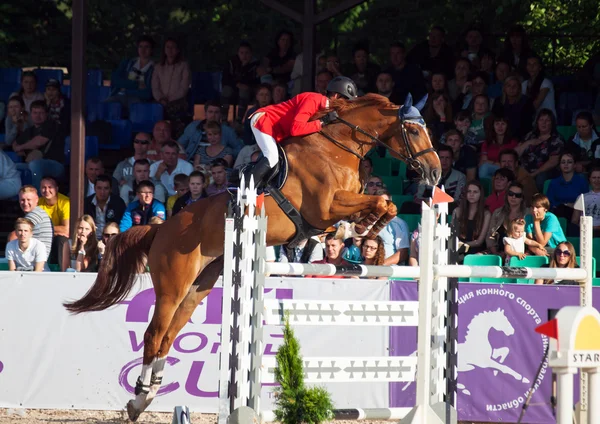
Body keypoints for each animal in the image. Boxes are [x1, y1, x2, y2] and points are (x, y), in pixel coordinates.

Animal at [64, 93, 440, 420]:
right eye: (414, 130)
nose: (435, 173)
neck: (337, 148)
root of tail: (162, 229)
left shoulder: (338, 207)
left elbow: (386, 204)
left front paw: (363, 229)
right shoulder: (324, 208)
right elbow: (378, 202)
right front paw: (364, 225)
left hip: (199, 286)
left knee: (168, 337)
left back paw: (147, 396)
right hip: (172, 285)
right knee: (154, 335)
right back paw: (138, 400)